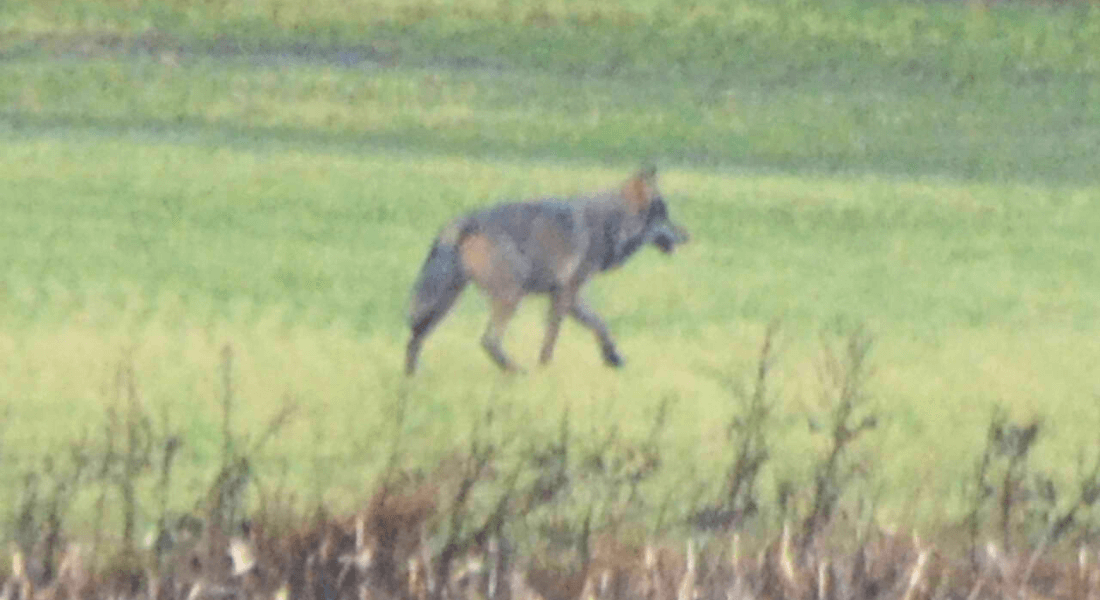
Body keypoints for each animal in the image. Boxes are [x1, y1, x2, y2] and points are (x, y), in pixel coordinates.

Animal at [404, 167, 690, 374]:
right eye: (665, 217)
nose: (688, 235)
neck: (611, 223)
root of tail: (463, 221)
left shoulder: (567, 296)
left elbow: (600, 325)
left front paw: (613, 358)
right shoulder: (567, 294)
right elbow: (553, 338)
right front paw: (545, 368)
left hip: (447, 301)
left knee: (416, 337)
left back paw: (412, 379)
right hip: (509, 296)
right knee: (488, 341)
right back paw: (517, 372)